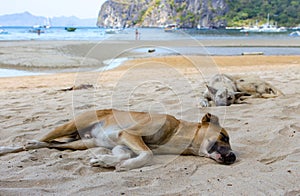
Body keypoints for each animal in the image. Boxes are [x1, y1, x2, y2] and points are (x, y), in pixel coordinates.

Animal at [0, 109, 237, 171]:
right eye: (224, 136)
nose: (233, 157)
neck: (177, 132)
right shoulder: (129, 135)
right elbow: (148, 154)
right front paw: (124, 166)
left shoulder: (123, 146)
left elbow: (125, 155)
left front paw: (106, 161)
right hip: (68, 126)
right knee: (40, 138)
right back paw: (9, 147)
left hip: (78, 144)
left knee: (51, 144)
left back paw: (34, 145)